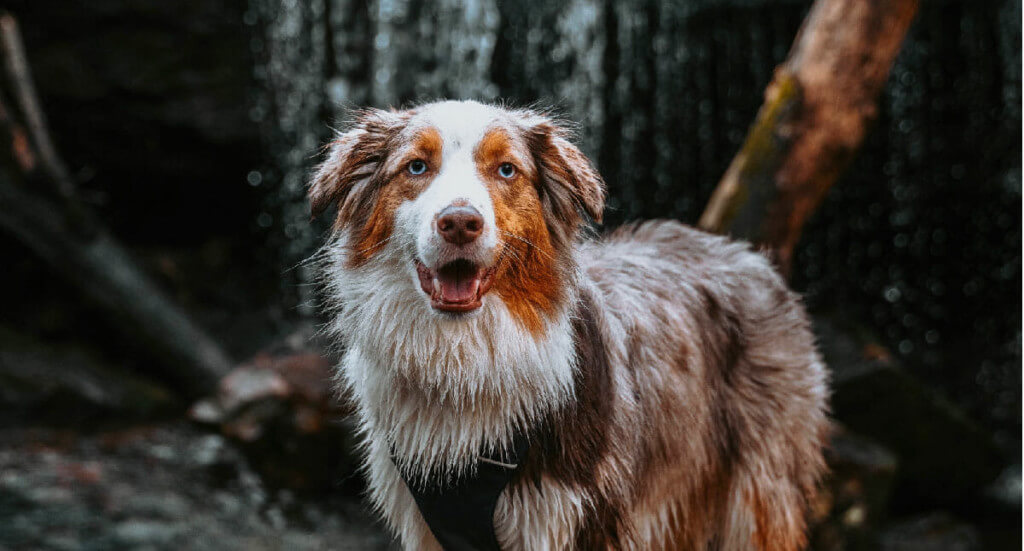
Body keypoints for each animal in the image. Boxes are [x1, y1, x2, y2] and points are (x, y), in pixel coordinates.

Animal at [307, 99, 827, 548]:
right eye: (416, 167)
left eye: (506, 169)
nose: (459, 223)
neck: (466, 356)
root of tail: (745, 253)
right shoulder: (430, 524)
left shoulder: (579, 516)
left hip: (758, 493)